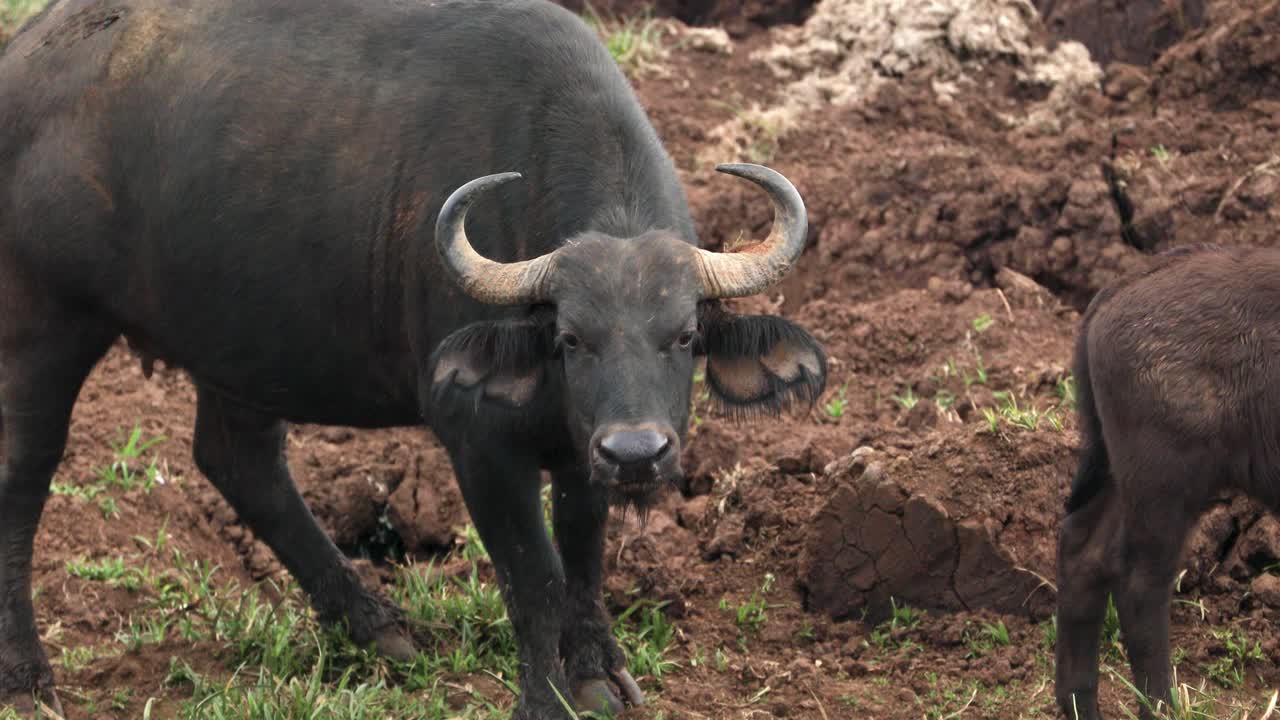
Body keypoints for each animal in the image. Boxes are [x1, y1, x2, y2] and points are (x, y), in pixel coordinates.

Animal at [0, 0, 824, 712]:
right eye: (569, 337)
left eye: (684, 334)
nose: (638, 453)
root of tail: (25, 57)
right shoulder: (479, 443)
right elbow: (533, 578)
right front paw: (544, 698)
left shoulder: (581, 443)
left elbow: (584, 556)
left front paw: (596, 675)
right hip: (44, 327)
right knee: (24, 477)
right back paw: (27, 677)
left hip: (239, 344)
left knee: (239, 461)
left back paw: (376, 626)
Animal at [1054, 242, 1274, 717]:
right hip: (1166, 484)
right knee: (1140, 581)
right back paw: (1162, 705)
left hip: (1120, 473)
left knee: (1082, 550)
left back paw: (1081, 704)